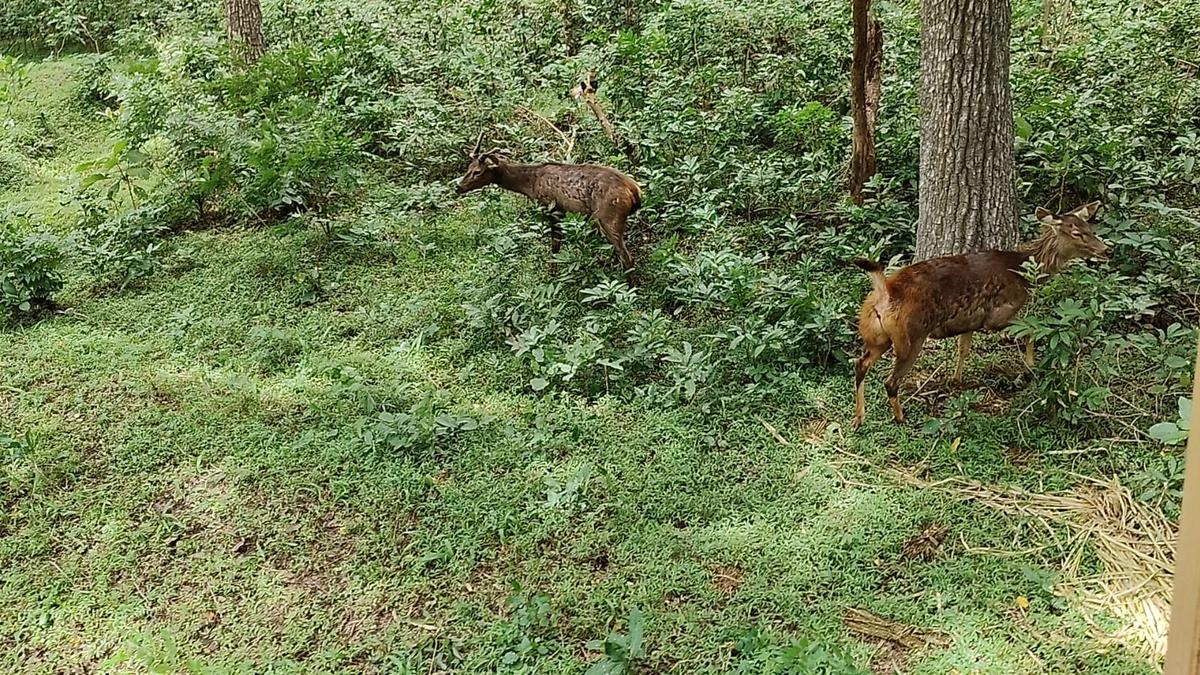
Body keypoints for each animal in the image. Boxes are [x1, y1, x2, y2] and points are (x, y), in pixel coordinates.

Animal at [453, 133, 643, 283]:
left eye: (478, 171)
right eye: (468, 167)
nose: (458, 186)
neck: (530, 184)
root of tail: (635, 191)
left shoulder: (553, 208)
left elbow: (555, 246)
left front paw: (552, 276)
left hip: (608, 217)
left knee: (627, 257)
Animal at [849, 201, 1108, 427]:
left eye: (1090, 228)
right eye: (1076, 233)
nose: (1107, 250)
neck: (1023, 273)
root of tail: (886, 291)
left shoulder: (970, 322)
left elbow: (963, 348)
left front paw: (956, 379)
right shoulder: (998, 314)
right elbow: (1029, 331)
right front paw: (1030, 367)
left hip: (876, 335)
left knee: (861, 364)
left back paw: (859, 418)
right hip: (911, 336)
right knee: (890, 381)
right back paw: (900, 417)